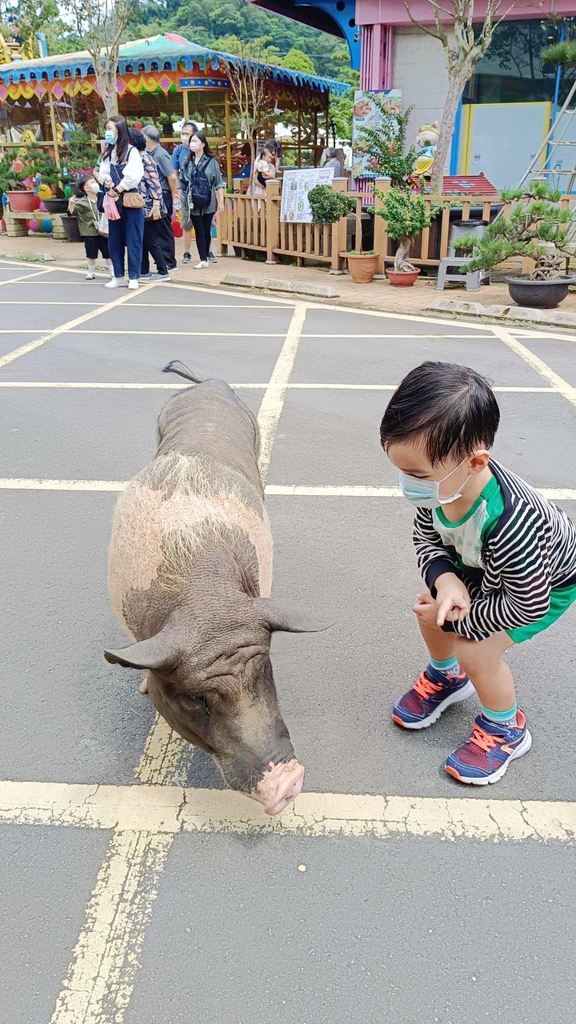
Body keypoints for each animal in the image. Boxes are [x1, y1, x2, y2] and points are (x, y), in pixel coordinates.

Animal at [104, 360, 327, 815]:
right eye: (196, 699)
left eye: (266, 671)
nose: (287, 781)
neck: (205, 593)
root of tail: (209, 383)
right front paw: (142, 687)